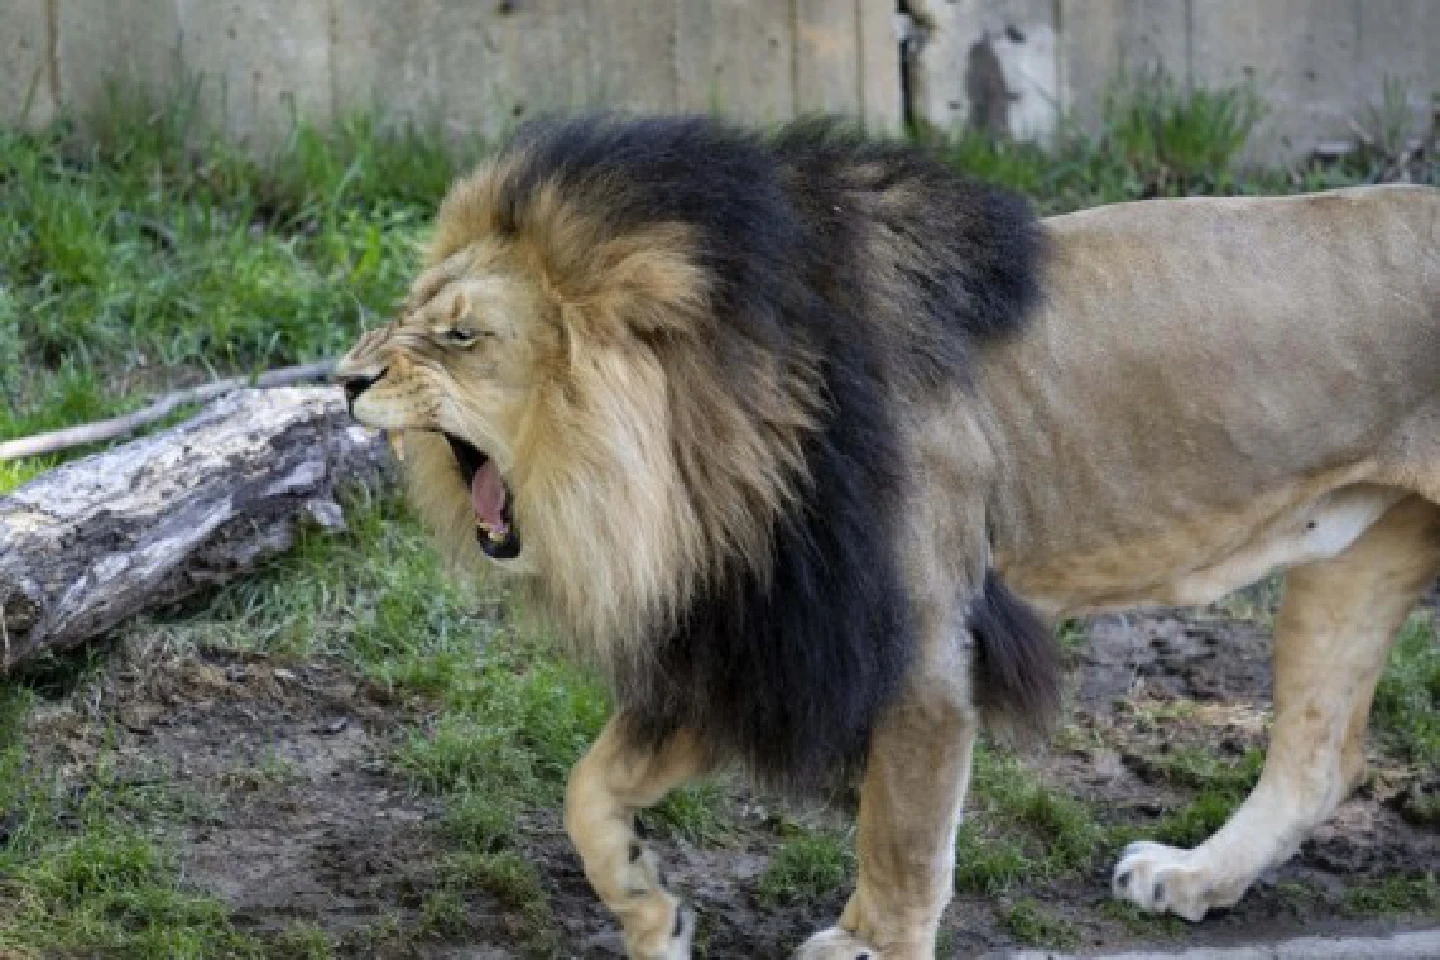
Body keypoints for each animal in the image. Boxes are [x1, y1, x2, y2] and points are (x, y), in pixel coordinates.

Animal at [334, 115, 1440, 960]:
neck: (715, 453)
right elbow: (586, 788)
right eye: (409, 312)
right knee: (1318, 758)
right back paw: (1195, 877)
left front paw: (867, 943)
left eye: (463, 335)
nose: (344, 379)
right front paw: (651, 910)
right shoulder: (760, 632)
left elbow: (900, 837)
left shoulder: (911, 648)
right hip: (1359, 558)